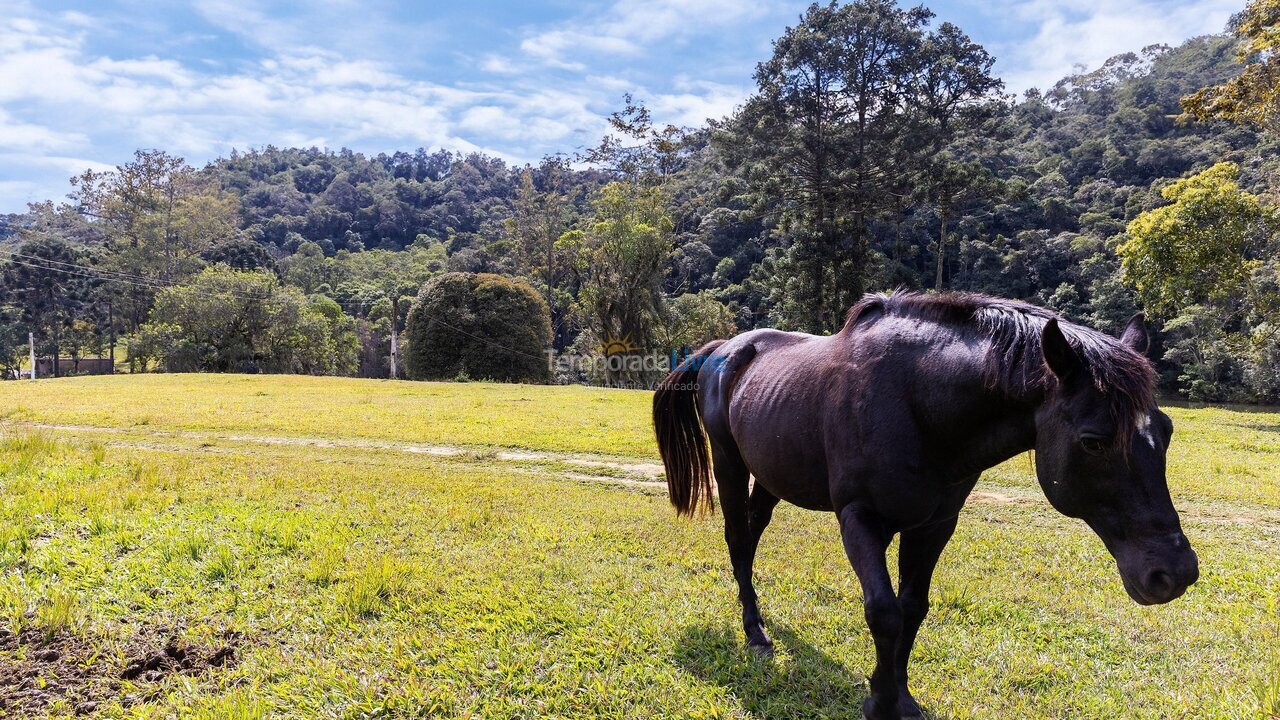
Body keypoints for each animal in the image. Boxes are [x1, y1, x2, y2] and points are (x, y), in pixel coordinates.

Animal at [655, 292, 1203, 717]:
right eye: (1093, 442)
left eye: (1167, 430)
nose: (1173, 573)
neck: (916, 403)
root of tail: (724, 350)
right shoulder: (860, 518)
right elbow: (884, 612)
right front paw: (878, 702)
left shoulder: (934, 524)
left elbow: (912, 610)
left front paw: (901, 697)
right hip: (729, 464)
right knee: (737, 539)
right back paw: (754, 631)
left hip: (771, 476)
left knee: (751, 534)